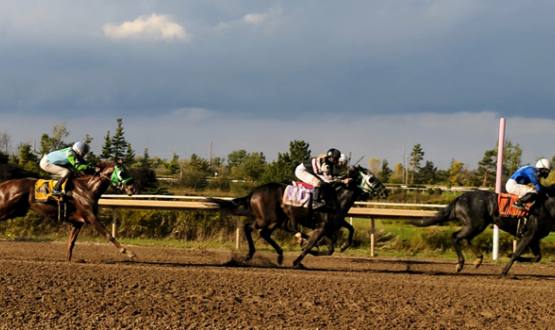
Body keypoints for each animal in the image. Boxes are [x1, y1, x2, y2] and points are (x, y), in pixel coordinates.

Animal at [0, 161, 138, 262]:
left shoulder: (77, 223)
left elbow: (71, 243)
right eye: (122, 173)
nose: (132, 188)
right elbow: (108, 234)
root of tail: (4, 185)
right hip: (6, 208)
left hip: (15, 211)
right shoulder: (90, 217)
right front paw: (129, 253)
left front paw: (68, 260)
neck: (88, 189)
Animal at [208, 166, 386, 270]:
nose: (384, 191)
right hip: (267, 218)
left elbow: (347, 232)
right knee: (249, 228)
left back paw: (278, 255)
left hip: (275, 220)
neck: (336, 198)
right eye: (371, 179)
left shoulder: (332, 224)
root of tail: (254, 192)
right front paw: (299, 259)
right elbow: (313, 245)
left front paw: (342, 246)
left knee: (263, 233)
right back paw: (251, 255)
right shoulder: (321, 228)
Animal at [412, 188, 555, 276]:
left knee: (465, 238)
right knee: (456, 237)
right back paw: (460, 264)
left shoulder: (534, 238)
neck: (548, 207)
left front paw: (511, 257)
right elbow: (516, 254)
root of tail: (460, 197)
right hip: (476, 224)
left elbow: (537, 257)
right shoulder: (529, 235)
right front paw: (504, 271)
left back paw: (478, 259)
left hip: (475, 225)